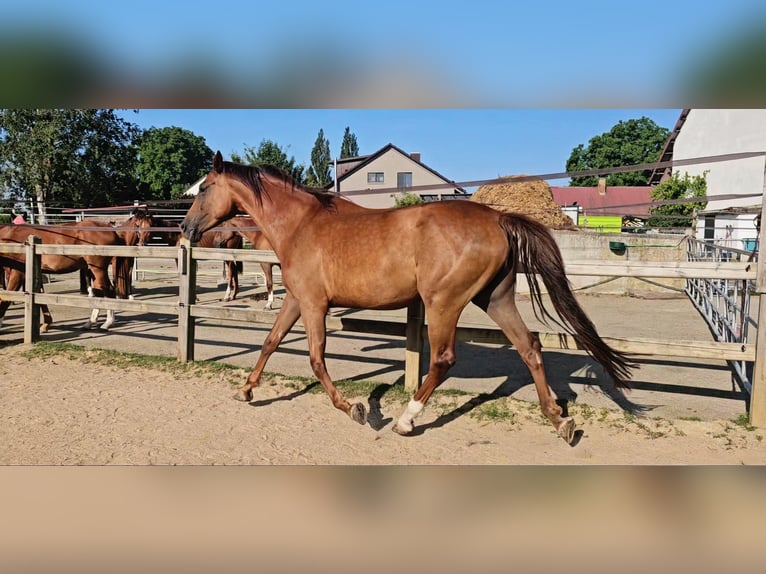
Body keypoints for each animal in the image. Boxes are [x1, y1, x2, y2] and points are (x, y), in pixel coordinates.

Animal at [0, 221, 131, 331]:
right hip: (92, 270)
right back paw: (90, 322)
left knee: (109, 290)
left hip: (98, 270)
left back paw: (107, 323)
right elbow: (40, 296)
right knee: (100, 292)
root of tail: (112, 230)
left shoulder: (18, 272)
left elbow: (6, 298)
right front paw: (46, 324)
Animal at [181, 152, 636, 444]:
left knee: (444, 359)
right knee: (530, 347)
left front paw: (356, 410)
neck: (301, 224)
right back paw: (560, 421)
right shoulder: (296, 300)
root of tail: (498, 217)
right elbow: (270, 342)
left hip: (444, 302)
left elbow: (315, 359)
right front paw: (245, 391)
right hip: (496, 298)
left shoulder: (313, 304)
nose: (185, 229)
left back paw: (405, 421)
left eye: (204, 188)